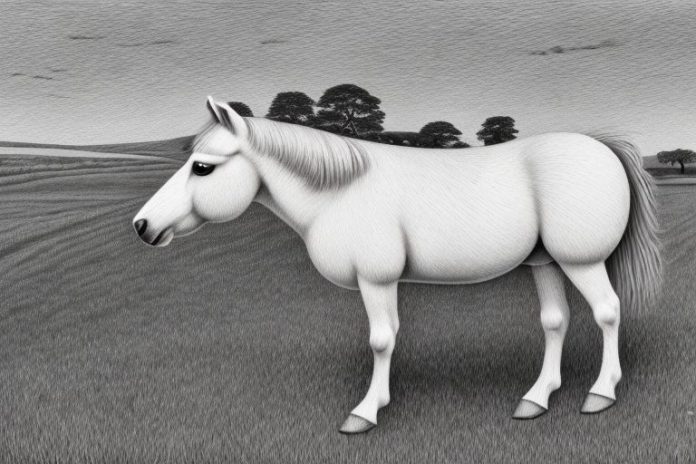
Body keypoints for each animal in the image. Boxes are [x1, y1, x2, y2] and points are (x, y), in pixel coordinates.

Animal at [133, 97, 662, 434]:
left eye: (203, 167)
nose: (142, 225)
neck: (340, 192)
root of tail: (601, 147)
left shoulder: (377, 279)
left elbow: (382, 340)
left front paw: (365, 413)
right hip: (546, 262)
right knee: (556, 321)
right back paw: (536, 398)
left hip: (582, 261)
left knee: (607, 313)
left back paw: (601, 393)